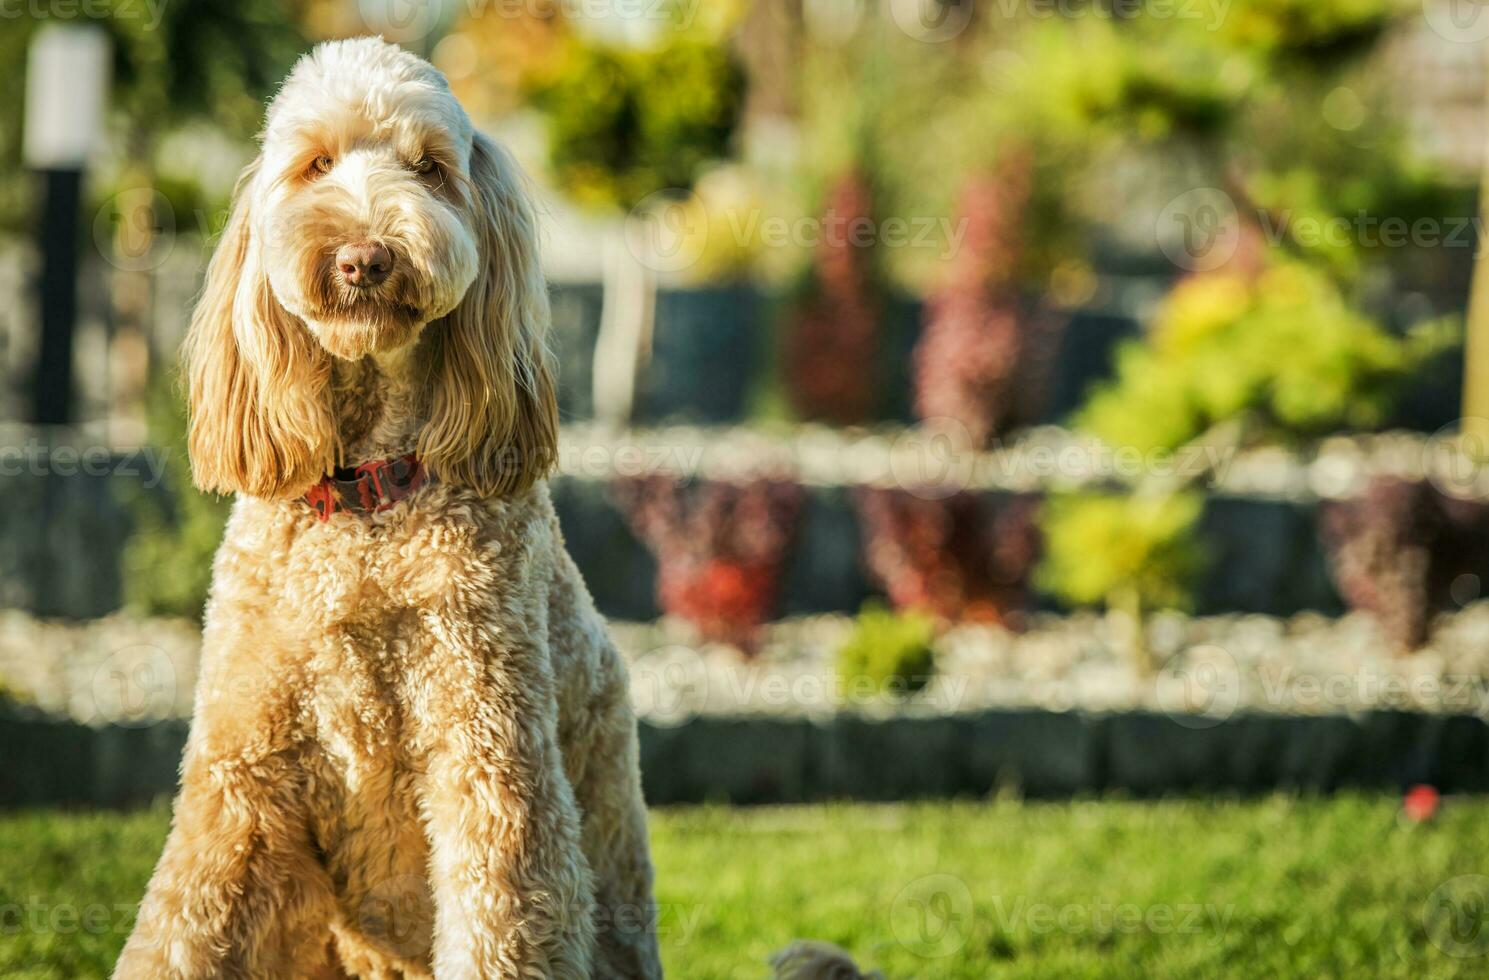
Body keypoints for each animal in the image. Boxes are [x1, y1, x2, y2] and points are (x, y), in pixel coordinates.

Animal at [110, 38, 658, 977]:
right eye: (315, 165)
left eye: (431, 168)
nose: (364, 256)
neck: (368, 494)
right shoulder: (238, 778)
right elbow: (177, 933)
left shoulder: (493, 768)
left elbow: (499, 923)